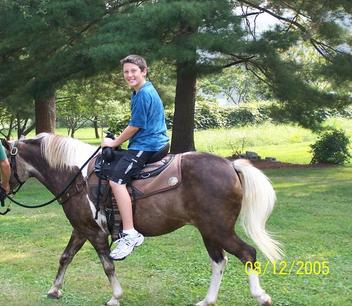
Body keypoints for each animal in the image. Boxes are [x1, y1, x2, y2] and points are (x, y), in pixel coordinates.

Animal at [2, 134, 284, 306]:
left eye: (2, 163)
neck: (77, 176)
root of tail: (231, 165)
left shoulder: (94, 233)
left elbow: (107, 265)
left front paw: (115, 296)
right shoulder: (81, 229)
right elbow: (65, 257)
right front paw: (54, 289)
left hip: (219, 229)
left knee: (247, 253)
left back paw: (260, 296)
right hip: (208, 230)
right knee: (219, 261)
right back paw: (208, 300)